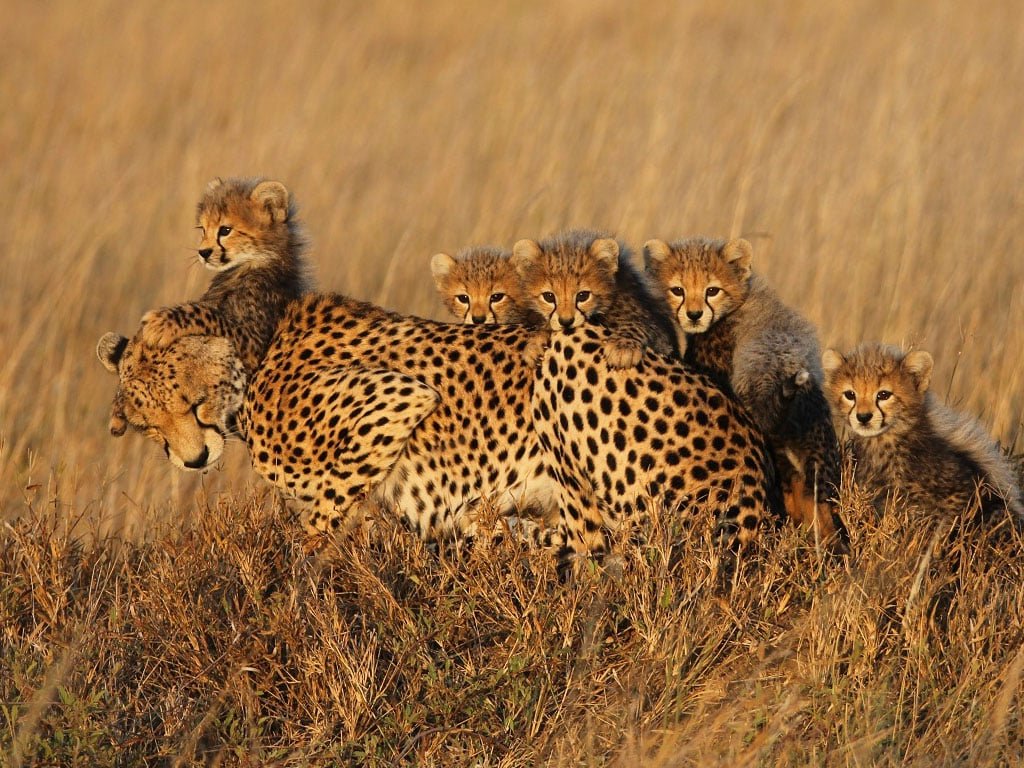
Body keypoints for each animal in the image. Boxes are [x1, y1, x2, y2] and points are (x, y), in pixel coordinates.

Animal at [98, 291, 785, 558]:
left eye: (191, 402)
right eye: (149, 424)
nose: (190, 459)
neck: (255, 354)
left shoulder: (395, 401)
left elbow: (321, 518)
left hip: (568, 356)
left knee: (605, 543)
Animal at [138, 177, 311, 376]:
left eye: (225, 230)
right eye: (203, 229)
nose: (203, 252)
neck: (248, 265)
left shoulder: (253, 343)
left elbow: (207, 313)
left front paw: (159, 322)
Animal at [512, 229, 679, 370]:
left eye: (583, 295)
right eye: (549, 296)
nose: (566, 322)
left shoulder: (660, 334)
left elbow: (638, 323)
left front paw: (623, 347)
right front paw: (535, 343)